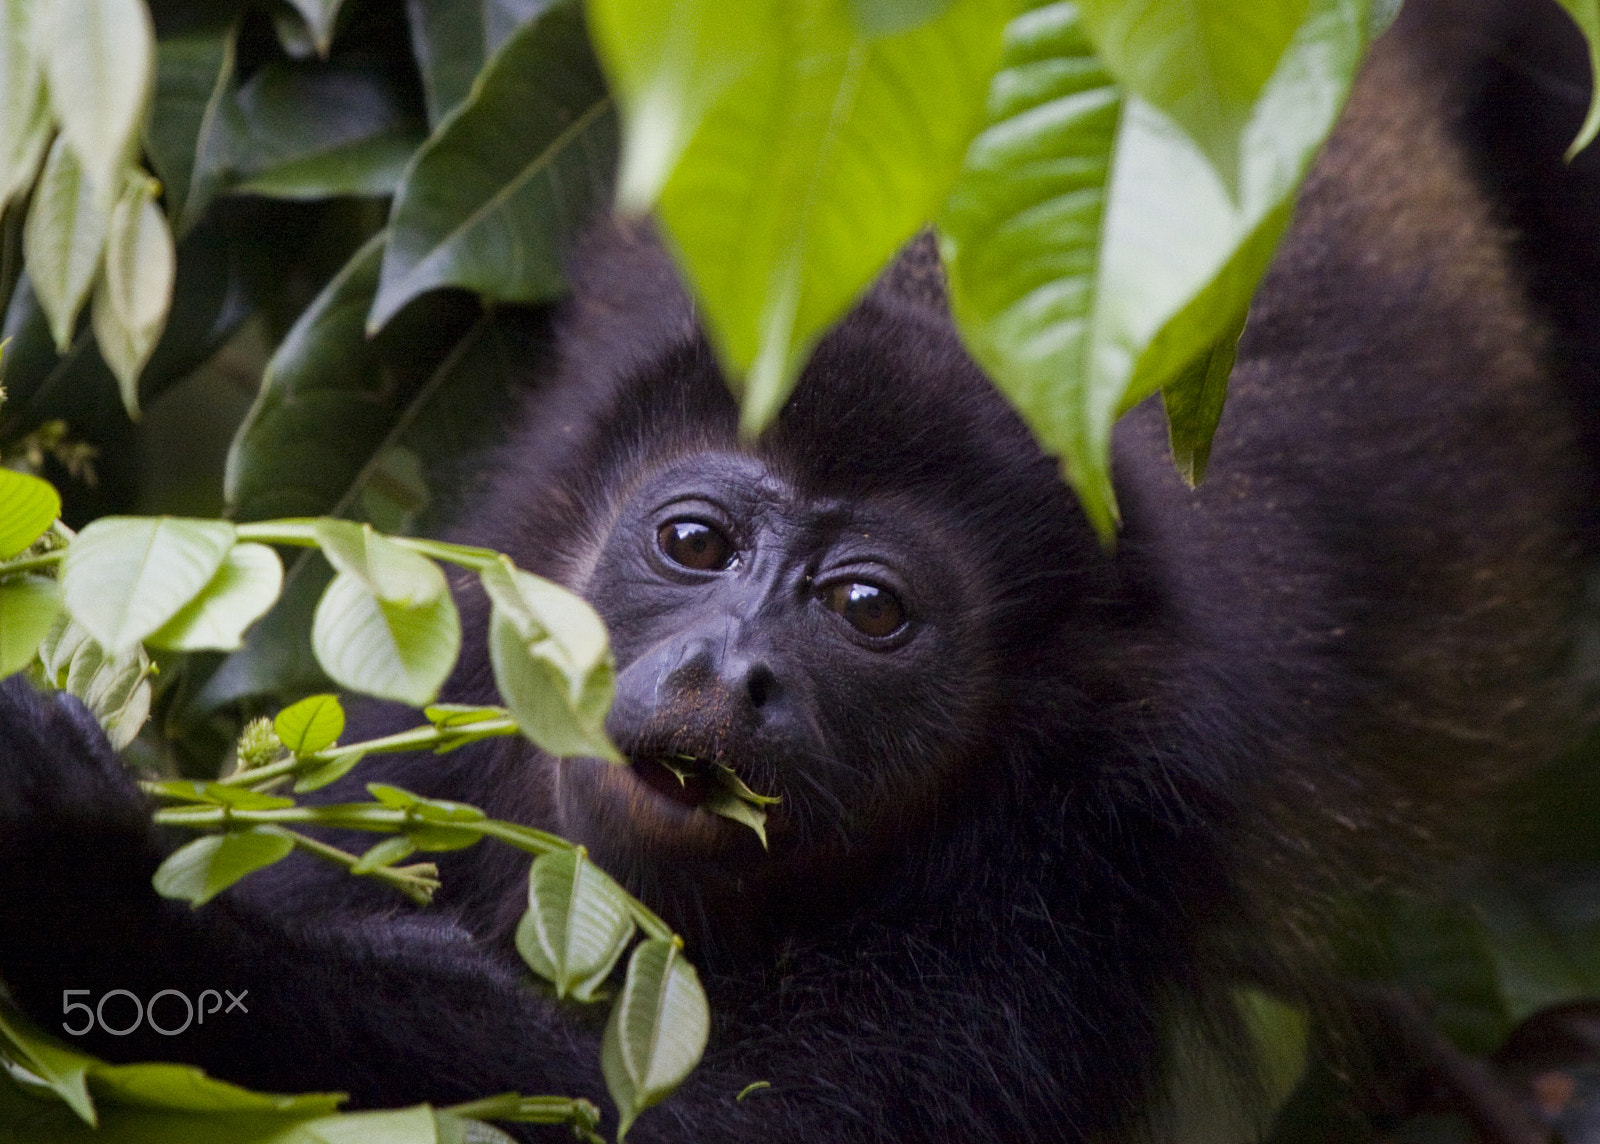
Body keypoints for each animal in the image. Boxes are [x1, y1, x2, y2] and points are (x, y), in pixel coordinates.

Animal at [3, 0, 1600, 1139]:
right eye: (693, 544)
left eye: (867, 612)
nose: (729, 668)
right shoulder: (472, 645)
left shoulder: (1096, 834)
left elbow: (773, 1117)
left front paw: (104, 896)